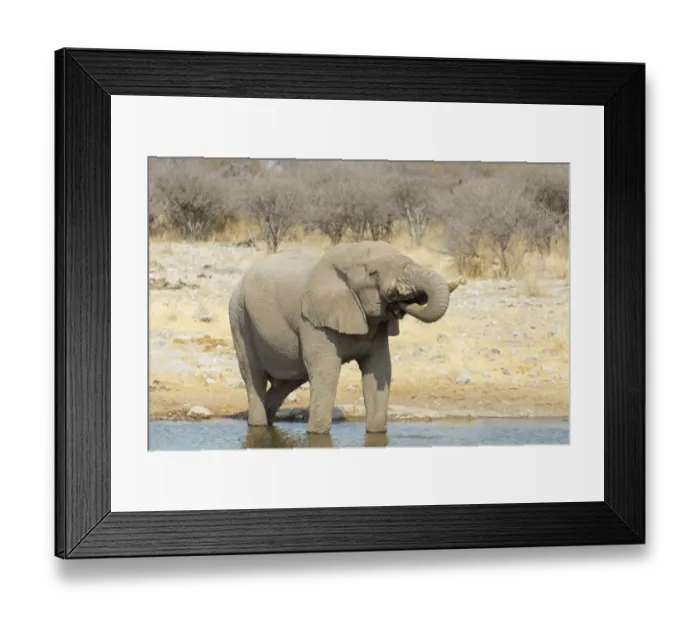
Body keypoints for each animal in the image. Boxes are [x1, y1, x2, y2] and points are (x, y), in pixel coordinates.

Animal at [228, 240, 460, 435]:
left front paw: (376, 433)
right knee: (254, 375)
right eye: (373, 273)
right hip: (239, 316)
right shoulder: (313, 321)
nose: (400, 303)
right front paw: (316, 434)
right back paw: (257, 424)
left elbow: (379, 369)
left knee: (288, 381)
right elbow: (326, 371)